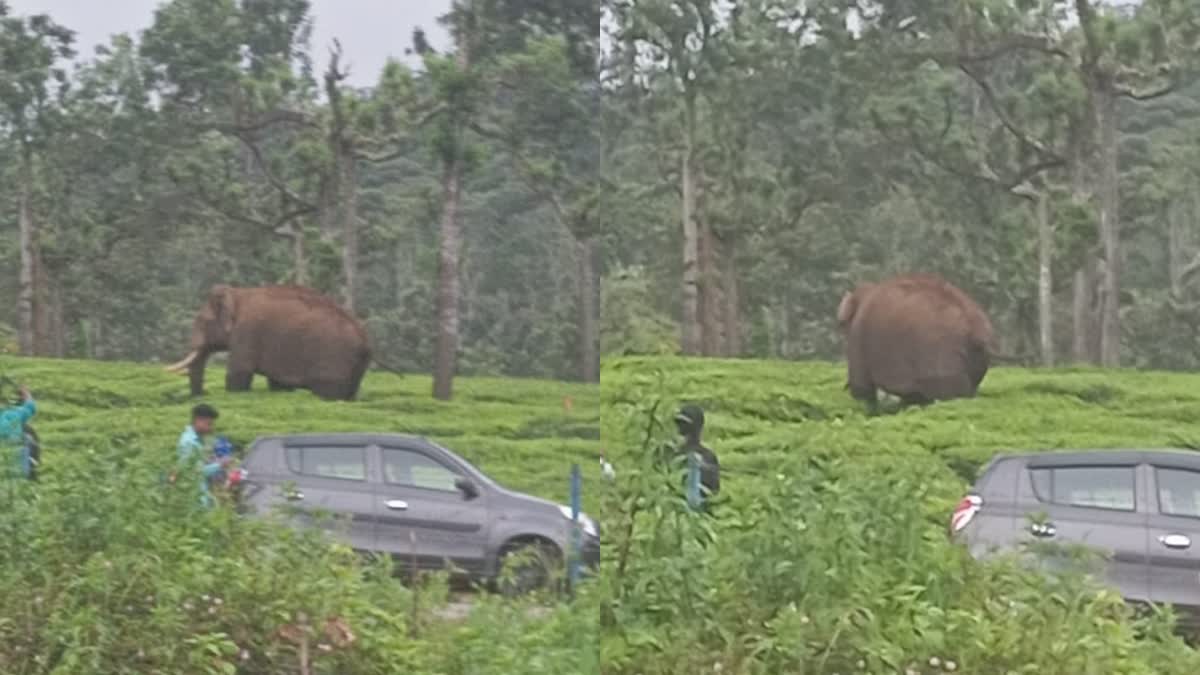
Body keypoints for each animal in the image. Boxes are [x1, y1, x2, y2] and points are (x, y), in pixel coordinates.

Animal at [164, 282, 369, 398]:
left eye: (203, 321)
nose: (204, 393)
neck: (238, 294)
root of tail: (365, 340)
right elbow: (278, 384)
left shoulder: (246, 333)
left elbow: (238, 374)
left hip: (333, 360)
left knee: (328, 391)